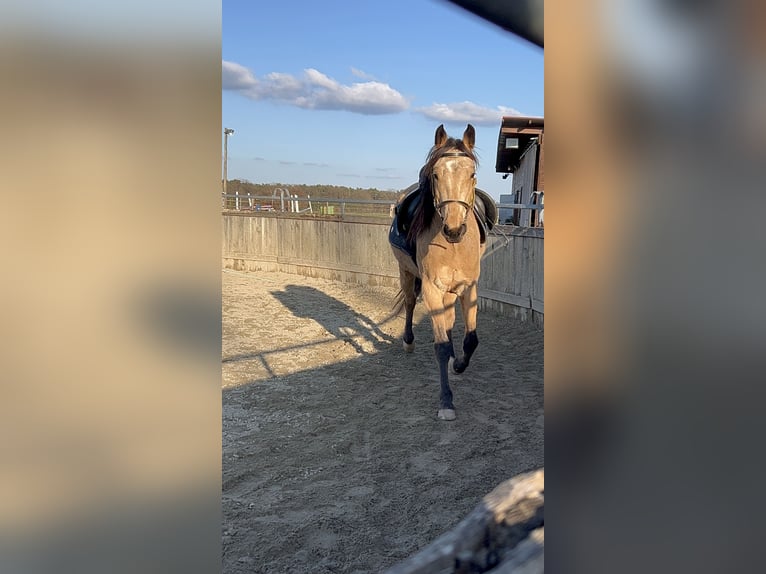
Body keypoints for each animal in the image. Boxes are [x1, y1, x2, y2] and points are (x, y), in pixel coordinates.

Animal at [389, 123, 490, 421]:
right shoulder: (432, 290)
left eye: (472, 174)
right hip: (406, 272)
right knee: (410, 302)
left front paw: (459, 364)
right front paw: (446, 401)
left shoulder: (468, 288)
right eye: (435, 174)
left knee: (447, 320)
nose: (454, 229)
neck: (453, 246)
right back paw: (408, 342)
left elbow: (471, 339)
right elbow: (441, 346)